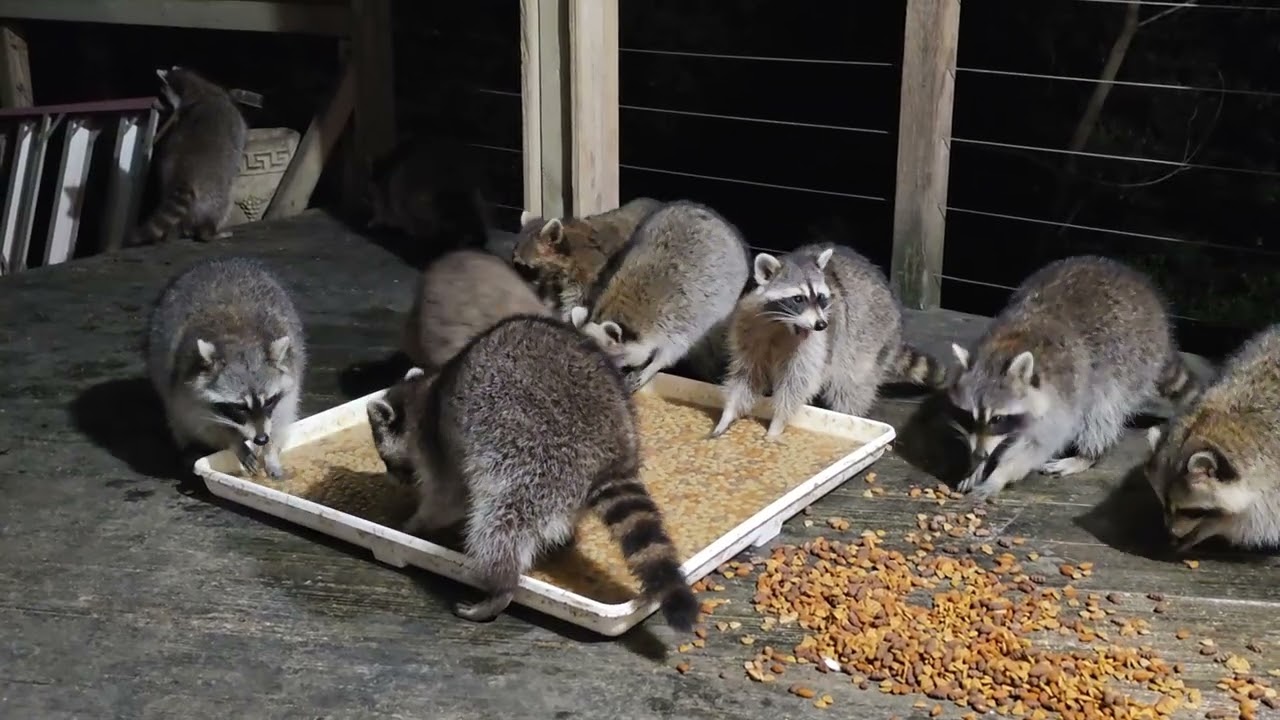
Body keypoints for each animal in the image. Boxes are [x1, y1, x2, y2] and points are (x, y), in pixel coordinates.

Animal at [132, 66, 248, 245]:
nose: (153, 104)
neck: (199, 90)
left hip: (168, 179)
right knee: (221, 206)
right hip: (217, 189)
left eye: (161, 96)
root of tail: (184, 173)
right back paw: (209, 233)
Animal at [146, 257, 306, 479]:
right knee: (178, 421)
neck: (241, 341)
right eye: (239, 407)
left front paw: (271, 451)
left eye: (268, 401)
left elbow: (282, 415)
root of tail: (220, 262)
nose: (261, 439)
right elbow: (200, 424)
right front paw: (234, 441)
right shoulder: (185, 387)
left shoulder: (291, 373)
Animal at [366, 315, 698, 630]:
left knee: (501, 523)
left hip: (534, 459)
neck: (424, 394)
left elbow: (449, 500)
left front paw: (414, 523)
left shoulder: (441, 446)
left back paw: (502, 583)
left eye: (386, 459)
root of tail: (614, 453)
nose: (392, 480)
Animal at [710, 243, 947, 440]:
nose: (821, 324)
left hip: (871, 337)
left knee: (850, 385)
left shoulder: (819, 341)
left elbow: (799, 380)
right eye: (798, 299)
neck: (783, 324)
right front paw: (729, 412)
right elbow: (747, 374)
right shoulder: (748, 325)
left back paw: (849, 413)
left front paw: (778, 423)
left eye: (822, 298)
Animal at [947, 255, 1200, 501]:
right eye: (968, 416)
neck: (1007, 346)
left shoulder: (1063, 395)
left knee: (1103, 411)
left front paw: (1000, 474)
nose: (979, 454)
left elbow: (1037, 445)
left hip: (1133, 360)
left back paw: (1088, 455)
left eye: (997, 419)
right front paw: (978, 465)